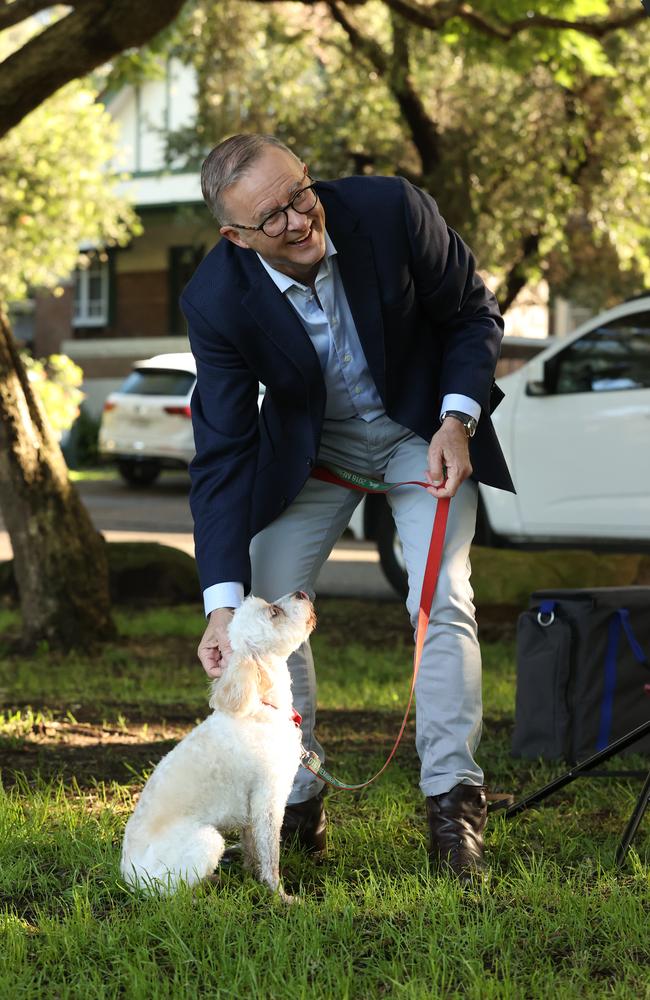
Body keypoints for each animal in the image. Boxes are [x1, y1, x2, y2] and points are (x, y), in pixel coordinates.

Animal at [121, 592, 316, 900]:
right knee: (174, 895)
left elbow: (253, 848)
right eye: (274, 612)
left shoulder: (251, 811)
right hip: (206, 840)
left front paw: (252, 875)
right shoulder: (267, 799)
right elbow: (270, 854)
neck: (260, 706)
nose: (302, 593)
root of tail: (129, 879)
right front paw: (280, 895)